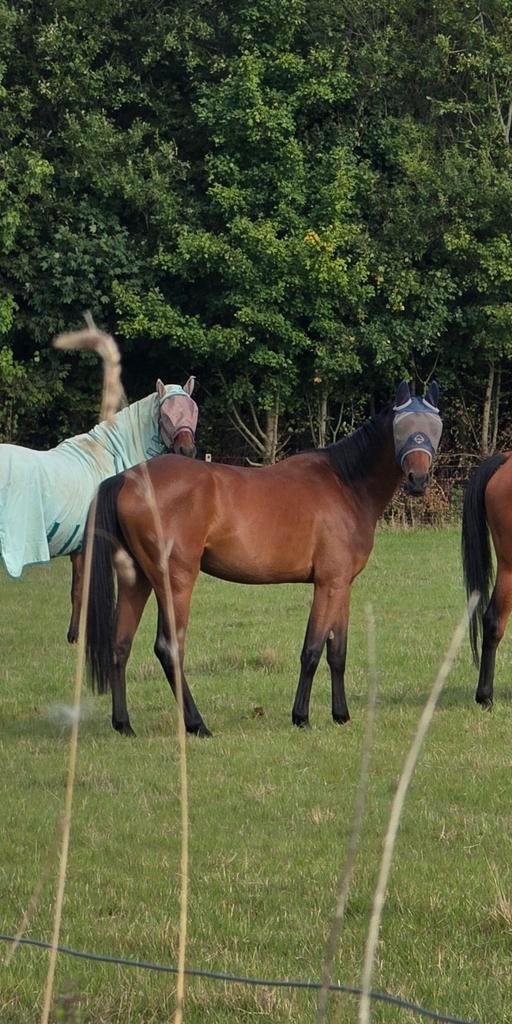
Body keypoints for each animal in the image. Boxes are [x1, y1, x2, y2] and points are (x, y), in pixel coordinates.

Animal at [0, 377, 198, 641]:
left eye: (194, 411)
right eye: (165, 415)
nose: (187, 450)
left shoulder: (80, 549)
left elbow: (78, 589)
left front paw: (74, 635)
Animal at [85, 380, 442, 737]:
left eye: (435, 427)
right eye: (402, 426)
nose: (418, 479)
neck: (346, 484)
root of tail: (127, 479)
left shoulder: (342, 585)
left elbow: (337, 652)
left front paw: (341, 715)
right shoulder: (328, 584)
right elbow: (312, 650)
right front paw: (301, 716)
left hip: (137, 580)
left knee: (120, 645)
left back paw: (124, 724)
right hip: (176, 582)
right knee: (168, 648)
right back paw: (197, 724)